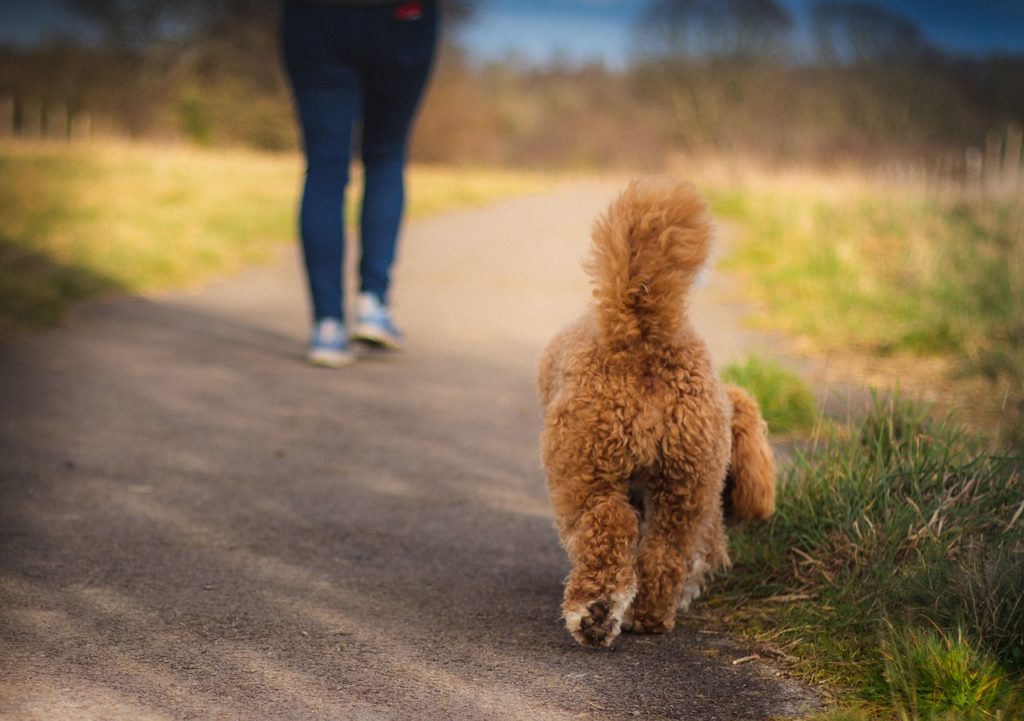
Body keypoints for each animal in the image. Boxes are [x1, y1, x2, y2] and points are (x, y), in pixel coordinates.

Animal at [540, 176, 770, 647]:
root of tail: (645, 338)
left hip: (586, 470)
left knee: (609, 525)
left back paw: (595, 612)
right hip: (686, 485)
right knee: (665, 553)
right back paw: (646, 615)